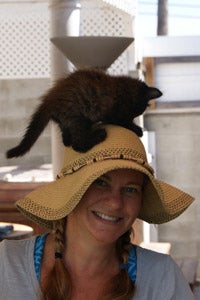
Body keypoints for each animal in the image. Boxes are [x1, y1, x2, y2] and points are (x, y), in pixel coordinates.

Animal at [6, 67, 162, 157]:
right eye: (138, 110)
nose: (137, 115)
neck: (124, 88)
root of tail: (50, 99)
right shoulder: (115, 114)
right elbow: (124, 122)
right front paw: (138, 129)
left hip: (69, 119)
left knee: (67, 139)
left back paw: (68, 139)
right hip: (80, 117)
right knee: (78, 145)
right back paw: (99, 135)